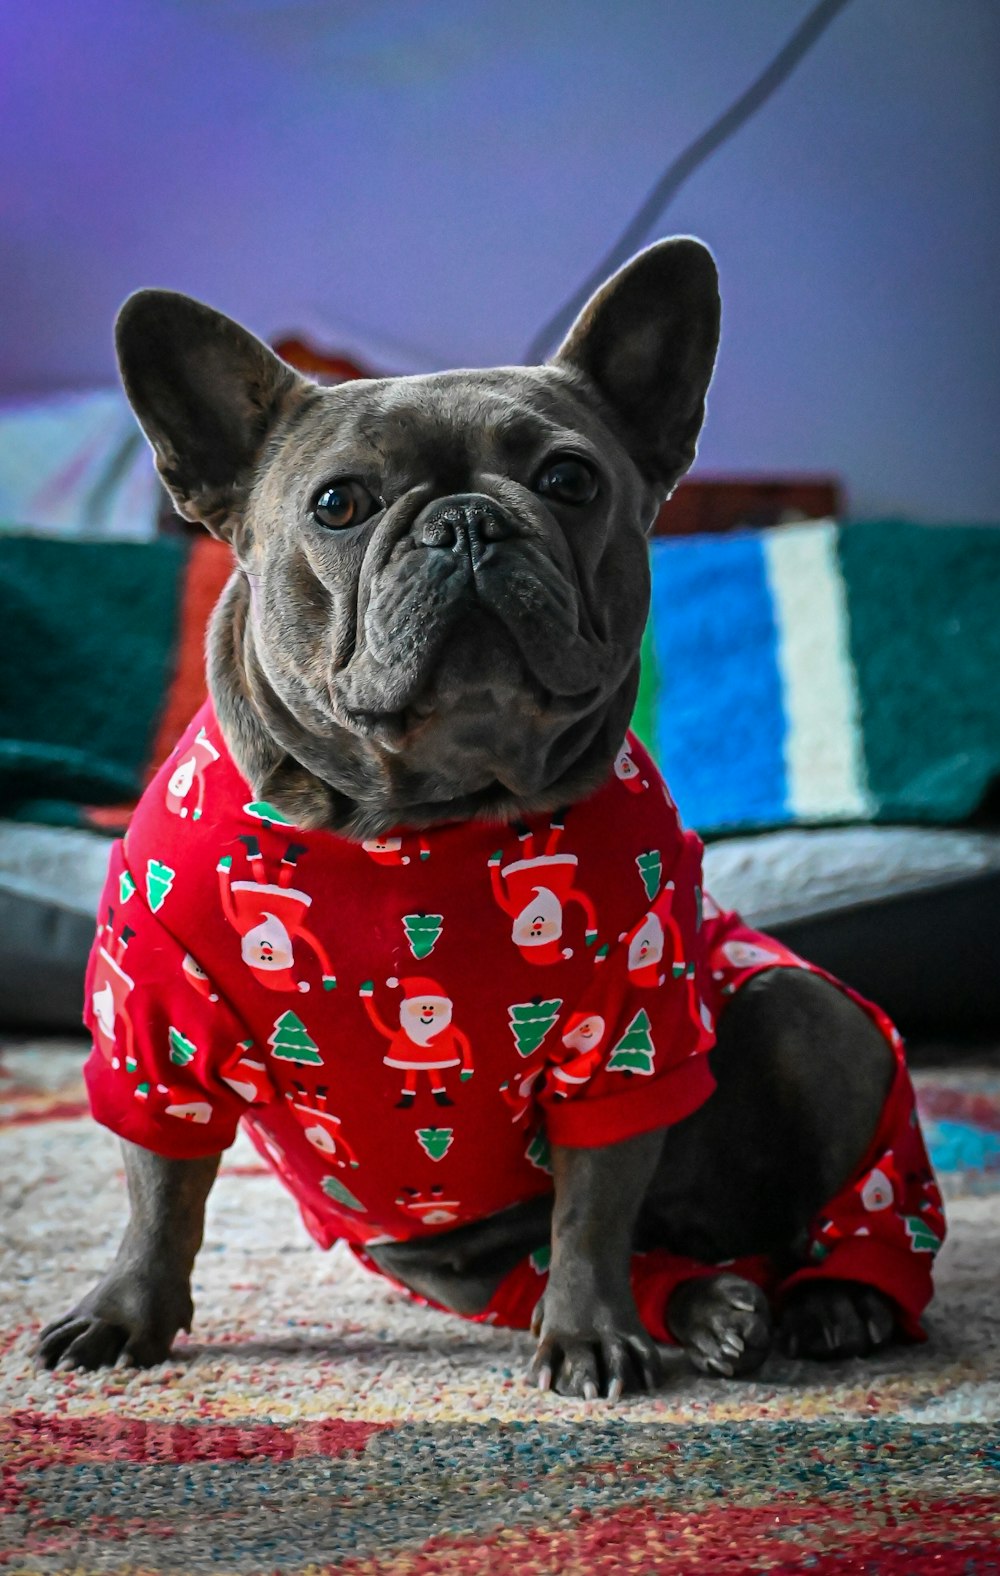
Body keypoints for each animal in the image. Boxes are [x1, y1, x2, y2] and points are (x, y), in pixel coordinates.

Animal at [37, 239, 938, 1399]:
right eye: (339, 504)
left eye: (570, 479)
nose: (465, 520)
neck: (420, 813)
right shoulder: (156, 1029)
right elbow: (159, 1190)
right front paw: (123, 1315)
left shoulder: (624, 1038)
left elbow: (592, 1207)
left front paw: (591, 1339)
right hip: (443, 1255)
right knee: (610, 1260)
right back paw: (711, 1309)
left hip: (812, 1018)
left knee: (806, 1206)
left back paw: (834, 1299)